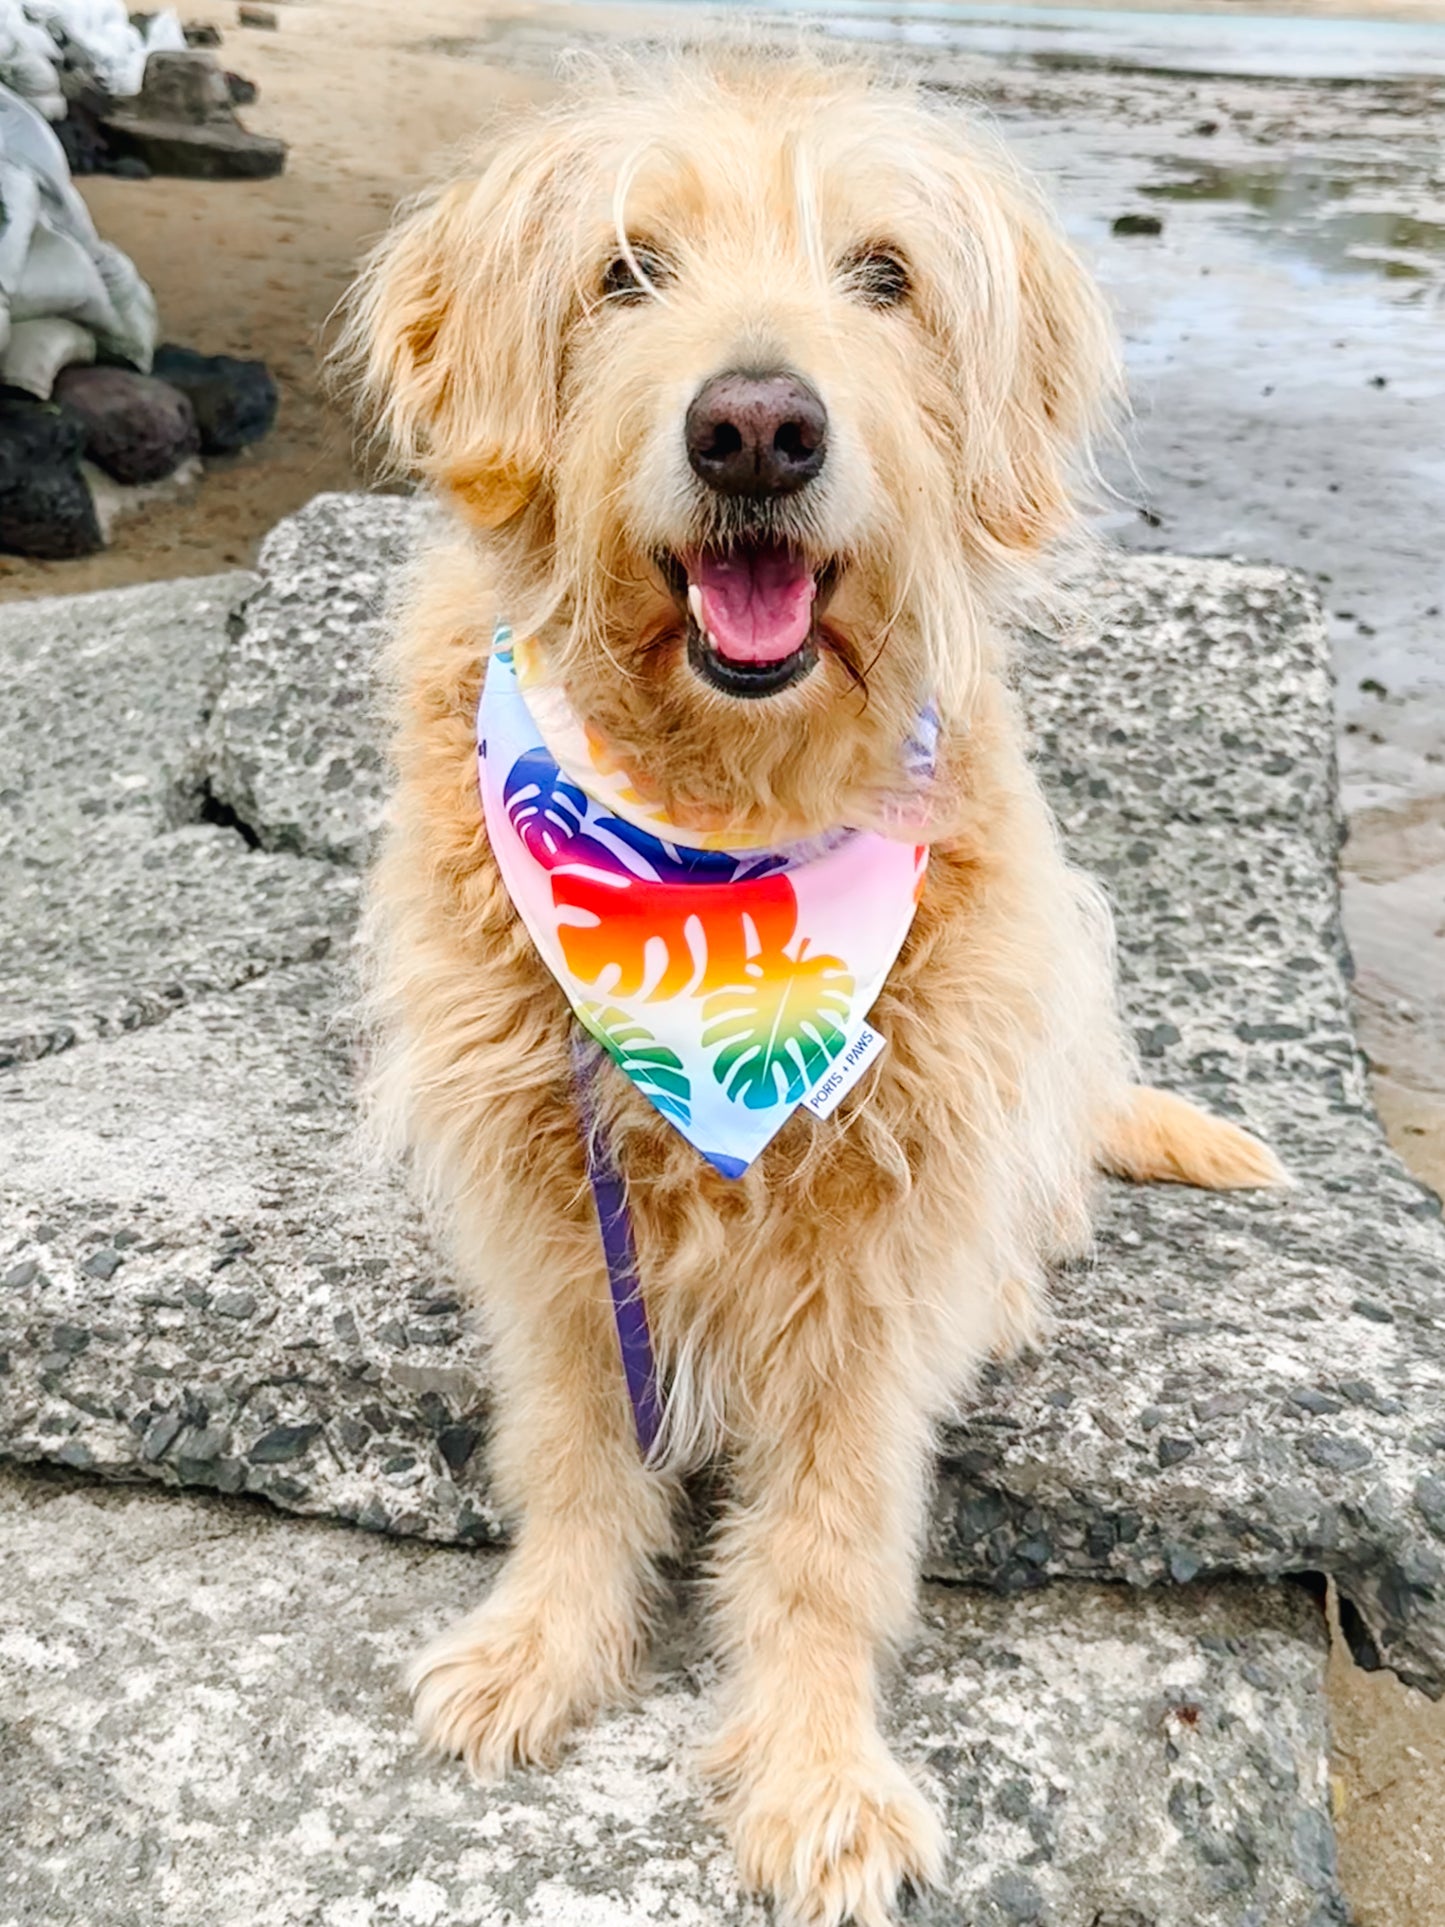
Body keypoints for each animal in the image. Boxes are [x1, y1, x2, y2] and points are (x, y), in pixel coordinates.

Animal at [342, 56, 1287, 1927]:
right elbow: (572, 1453)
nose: (758, 430)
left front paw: (814, 1772)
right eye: (627, 269)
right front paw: (545, 1648)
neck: (721, 837)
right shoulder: (552, 1219)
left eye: (883, 275)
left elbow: (831, 1529)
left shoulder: (884, 1242)